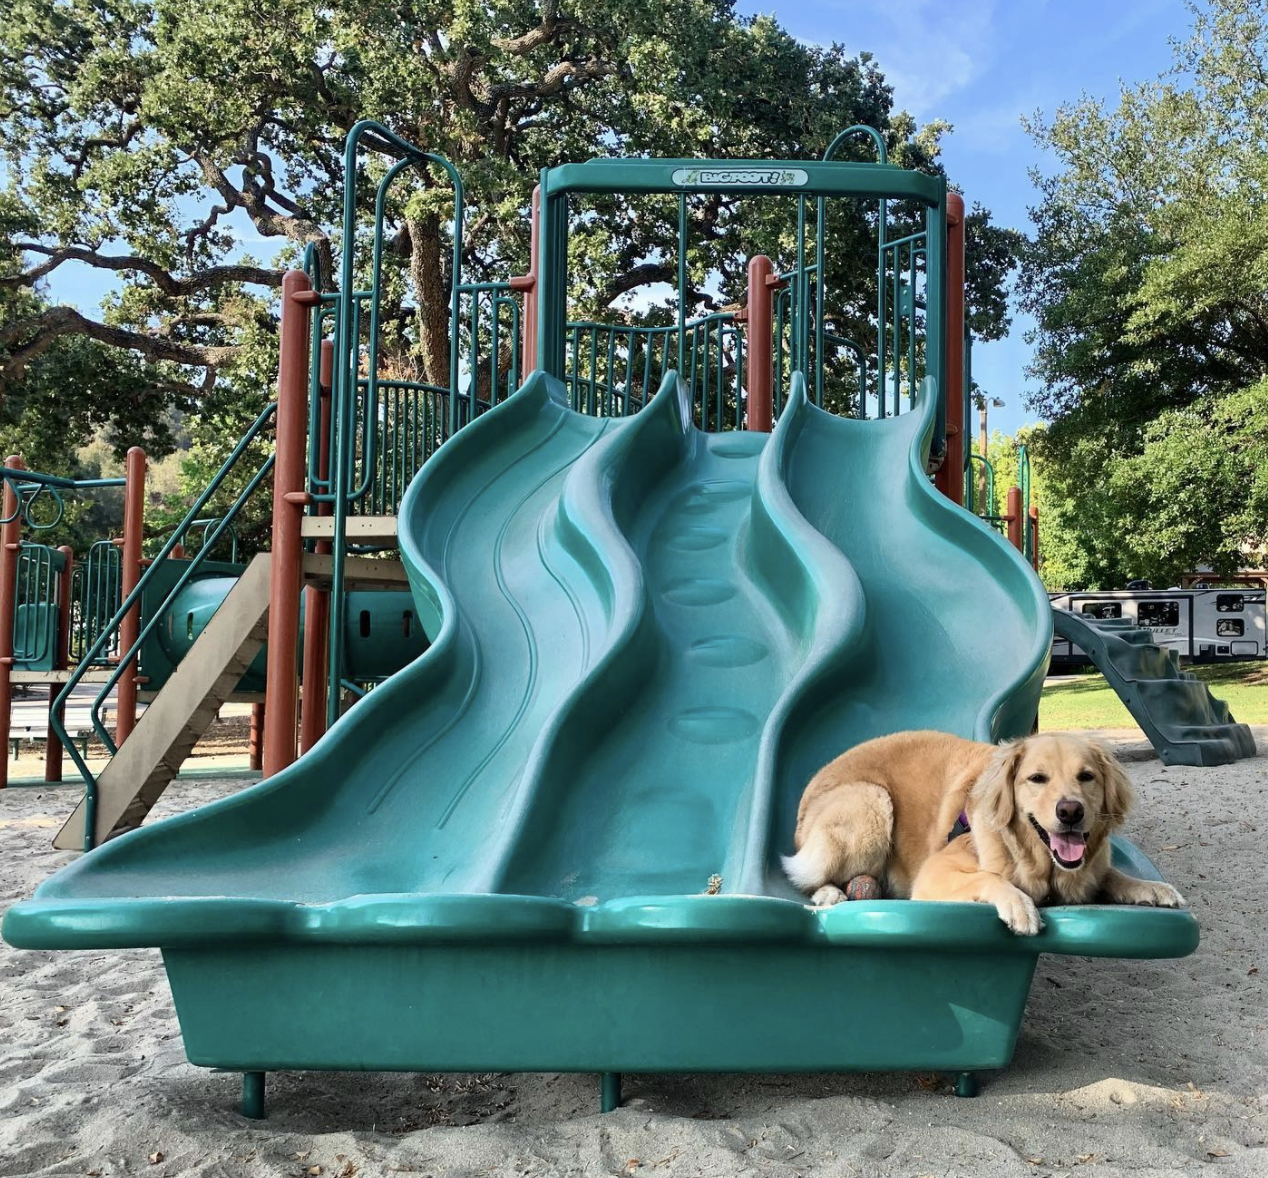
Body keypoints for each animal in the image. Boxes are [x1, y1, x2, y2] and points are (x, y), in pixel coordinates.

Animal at [781, 730, 1186, 933]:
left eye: (1086, 776)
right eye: (1037, 778)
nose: (1070, 811)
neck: (1042, 866)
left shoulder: (1090, 871)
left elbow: (1112, 875)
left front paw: (1152, 888)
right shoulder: (933, 874)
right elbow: (989, 878)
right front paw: (1019, 905)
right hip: (872, 802)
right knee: (807, 873)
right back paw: (828, 893)